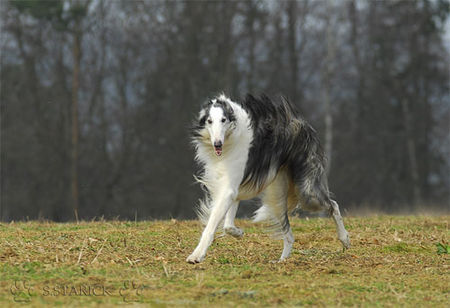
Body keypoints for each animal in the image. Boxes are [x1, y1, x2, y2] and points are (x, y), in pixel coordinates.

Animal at [186, 93, 348, 262]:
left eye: (223, 120)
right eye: (209, 121)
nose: (217, 144)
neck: (231, 138)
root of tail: (302, 122)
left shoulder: (229, 188)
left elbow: (211, 227)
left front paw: (196, 255)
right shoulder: (231, 187)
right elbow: (228, 225)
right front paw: (238, 233)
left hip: (307, 193)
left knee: (333, 205)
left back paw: (344, 239)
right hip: (277, 197)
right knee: (289, 236)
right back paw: (281, 261)